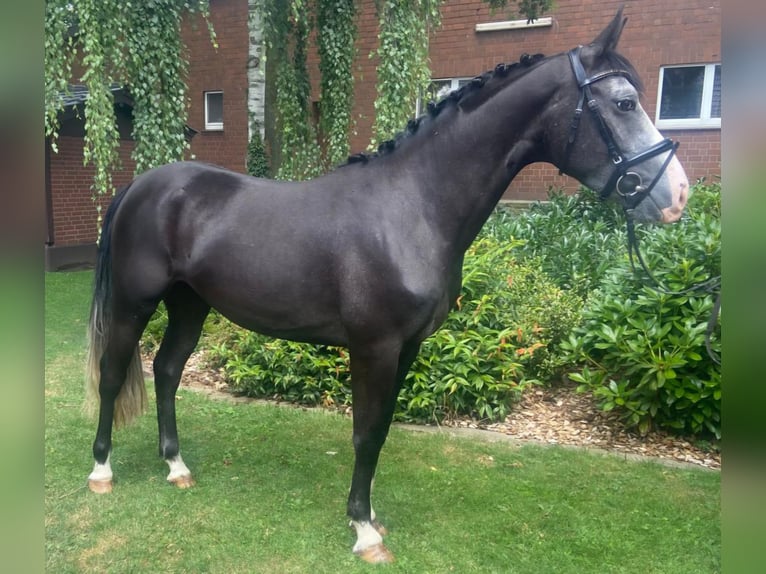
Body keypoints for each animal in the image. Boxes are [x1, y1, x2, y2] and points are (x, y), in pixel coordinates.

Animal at [84, 7, 688, 563]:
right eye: (624, 103)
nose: (676, 196)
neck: (412, 206)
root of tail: (141, 184)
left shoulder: (408, 347)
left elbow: (381, 431)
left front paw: (370, 516)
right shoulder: (374, 347)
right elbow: (365, 432)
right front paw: (363, 531)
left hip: (191, 304)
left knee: (167, 370)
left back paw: (176, 466)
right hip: (134, 303)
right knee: (113, 374)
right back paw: (101, 470)